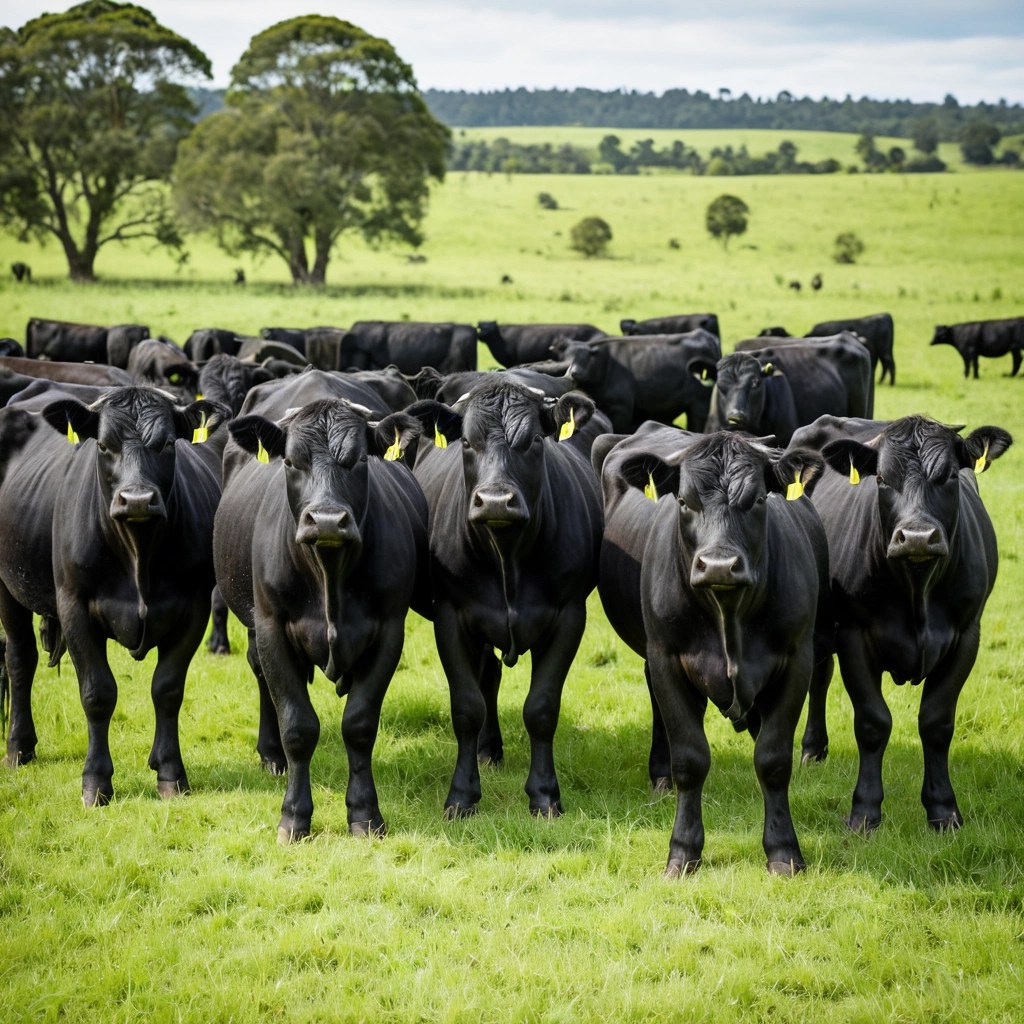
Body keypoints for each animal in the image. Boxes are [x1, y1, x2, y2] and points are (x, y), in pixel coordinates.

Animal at [0, 387, 228, 805]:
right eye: (104, 445)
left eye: (167, 443)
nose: (136, 500)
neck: (138, 552)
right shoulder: (74, 606)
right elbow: (97, 693)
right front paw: (96, 782)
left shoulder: (193, 608)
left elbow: (167, 689)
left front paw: (170, 773)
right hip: (9, 587)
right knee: (20, 658)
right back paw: (19, 747)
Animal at [214, 399, 430, 841]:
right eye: (290, 461)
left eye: (360, 459)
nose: (327, 520)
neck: (329, 575)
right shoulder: (272, 627)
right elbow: (297, 726)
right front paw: (294, 817)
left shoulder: (389, 631)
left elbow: (359, 725)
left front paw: (365, 814)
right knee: (260, 675)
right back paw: (271, 755)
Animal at [404, 379, 603, 818]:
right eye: (466, 441)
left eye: (534, 441)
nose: (496, 500)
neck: (507, 554)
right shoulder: (451, 616)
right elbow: (467, 706)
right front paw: (461, 795)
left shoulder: (569, 615)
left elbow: (541, 707)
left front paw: (544, 794)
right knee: (487, 680)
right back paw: (487, 749)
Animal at [595, 427, 829, 874]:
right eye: (684, 501)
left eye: (758, 500)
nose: (719, 565)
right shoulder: (667, 658)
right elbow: (690, 759)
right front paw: (683, 850)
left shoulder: (798, 660)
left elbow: (773, 758)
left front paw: (783, 850)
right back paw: (660, 775)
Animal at [793, 415, 1012, 833]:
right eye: (881, 478)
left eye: (949, 476)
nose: (917, 537)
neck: (917, 588)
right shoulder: (853, 634)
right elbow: (872, 722)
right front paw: (865, 811)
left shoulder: (966, 636)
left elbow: (936, 722)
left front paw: (943, 810)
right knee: (818, 674)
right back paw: (813, 748)